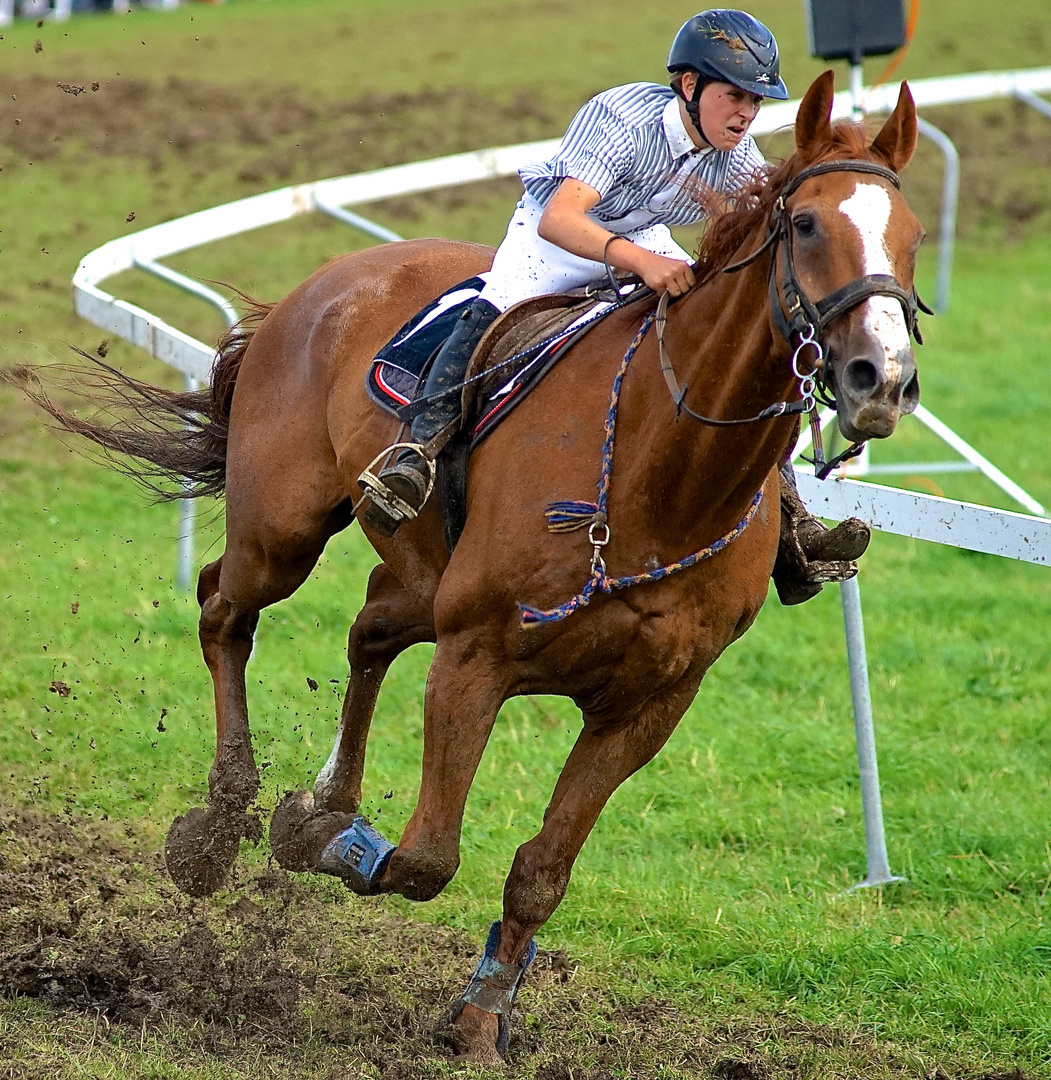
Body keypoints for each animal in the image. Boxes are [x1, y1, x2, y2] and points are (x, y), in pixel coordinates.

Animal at [20, 71, 920, 1058]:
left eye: (912, 237)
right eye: (805, 225)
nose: (882, 379)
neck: (660, 478)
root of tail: (322, 282)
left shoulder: (650, 704)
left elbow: (540, 871)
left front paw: (482, 1016)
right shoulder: (474, 658)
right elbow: (423, 857)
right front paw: (312, 836)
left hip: (416, 575)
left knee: (367, 629)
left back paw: (323, 795)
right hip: (281, 531)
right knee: (225, 607)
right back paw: (220, 824)